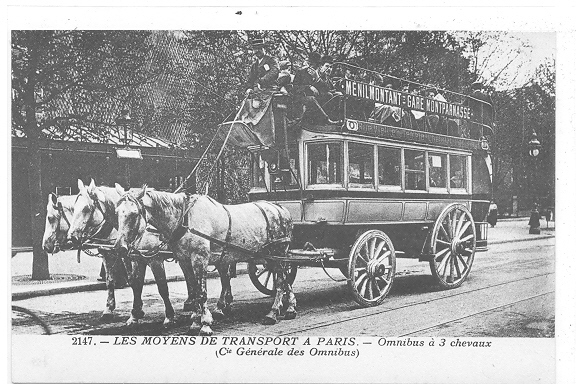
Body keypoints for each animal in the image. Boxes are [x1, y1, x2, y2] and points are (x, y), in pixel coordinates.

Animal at [66, 178, 195, 326]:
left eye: (87, 208)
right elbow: (123, 282)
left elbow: (160, 286)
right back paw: (191, 302)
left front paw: (168, 316)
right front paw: (121, 312)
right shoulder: (124, 257)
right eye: (74, 207)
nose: (71, 237)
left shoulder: (153, 259)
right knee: (188, 274)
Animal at [113, 184, 296, 334]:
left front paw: (205, 324)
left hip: (278, 252)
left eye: (134, 214)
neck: (185, 219)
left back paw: (273, 312)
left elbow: (200, 292)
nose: (119, 247)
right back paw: (289, 308)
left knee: (281, 280)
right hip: (269, 256)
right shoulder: (184, 261)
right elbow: (193, 290)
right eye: (117, 213)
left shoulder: (197, 259)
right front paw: (195, 321)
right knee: (283, 279)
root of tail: (280, 208)